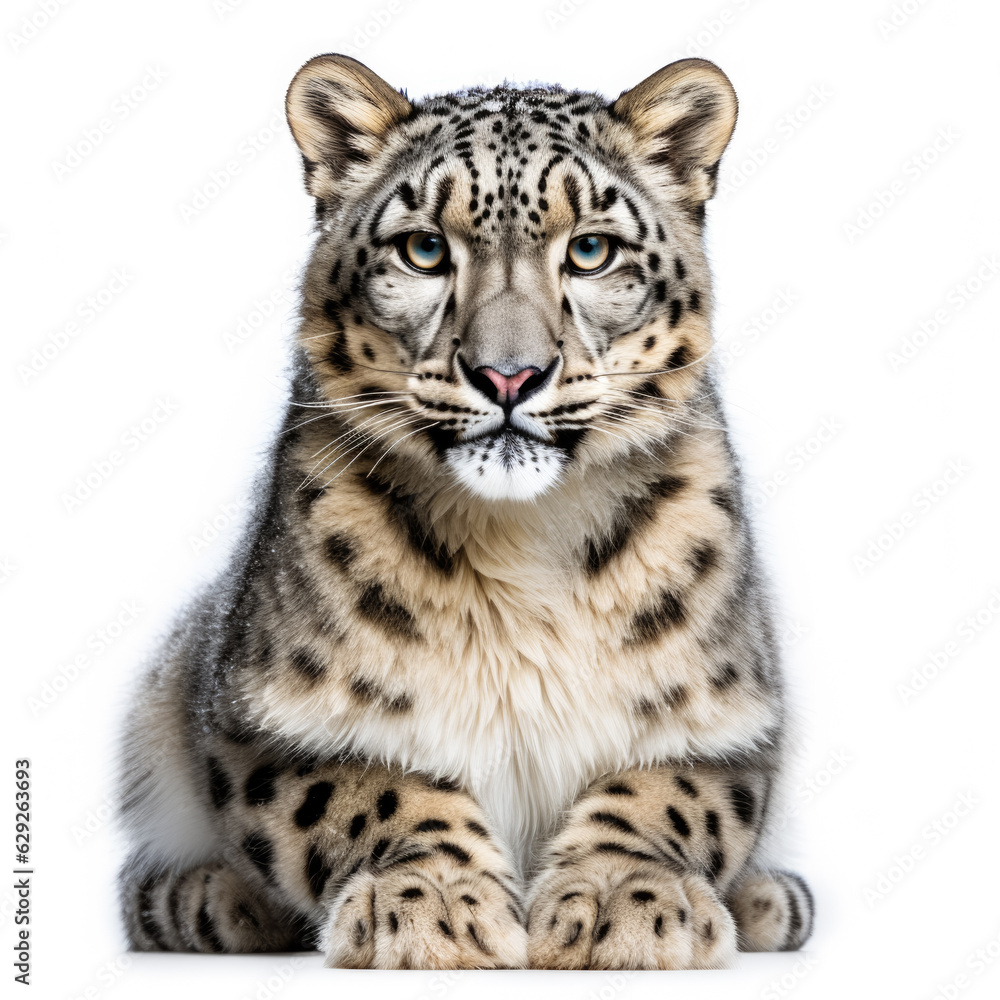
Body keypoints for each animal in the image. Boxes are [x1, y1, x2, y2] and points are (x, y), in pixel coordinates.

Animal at [116, 53, 814, 970]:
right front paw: (434, 906)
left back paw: (772, 901)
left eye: (590, 249)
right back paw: (214, 900)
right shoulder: (265, 718)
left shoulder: (729, 721)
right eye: (423, 250)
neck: (521, 545)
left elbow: (667, 793)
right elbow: (367, 788)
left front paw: (619, 902)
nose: (508, 374)